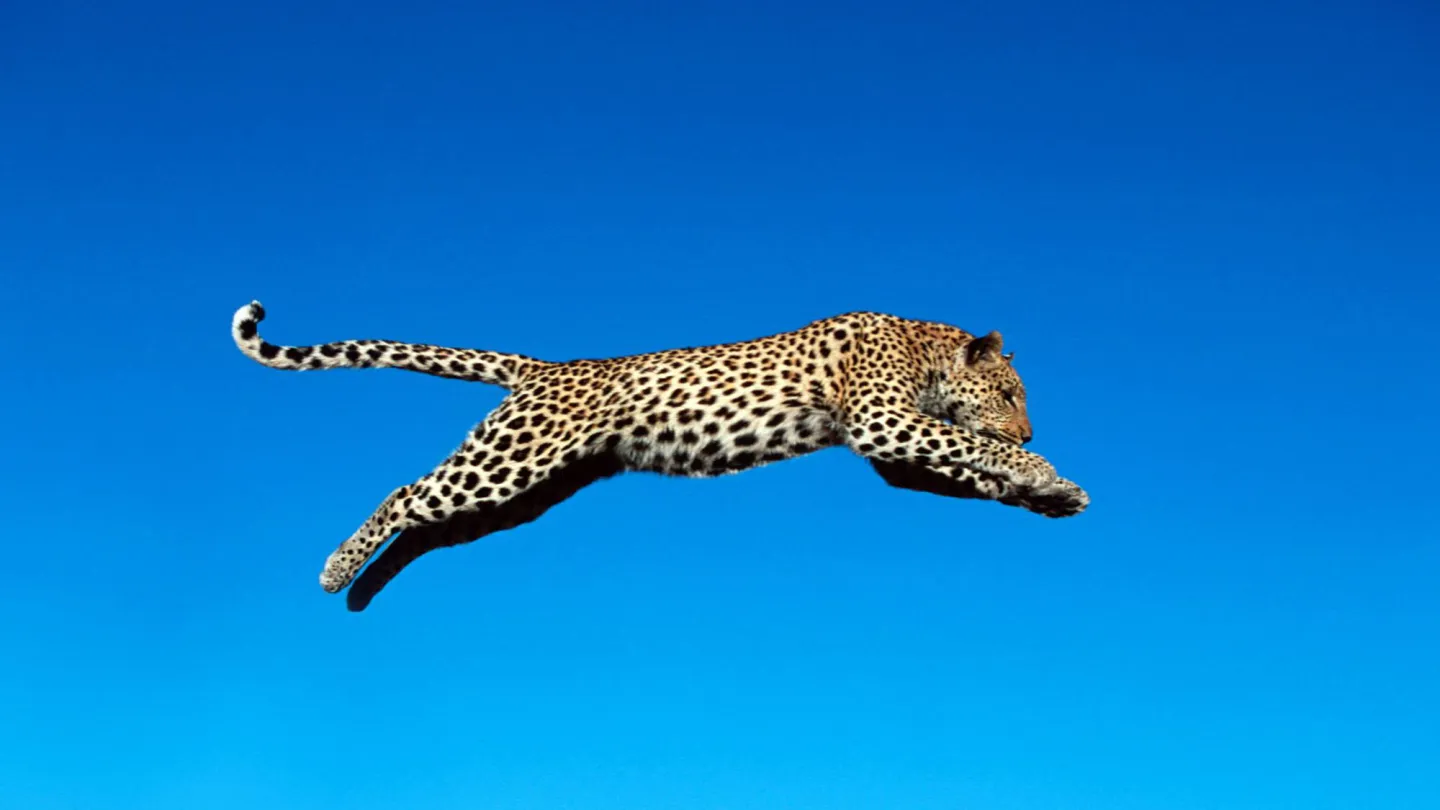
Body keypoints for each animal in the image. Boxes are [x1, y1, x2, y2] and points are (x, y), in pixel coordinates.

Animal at [232, 301, 1089, 611]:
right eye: (1009, 392)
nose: (1028, 433)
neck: (924, 347)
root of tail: (548, 368)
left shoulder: (892, 445)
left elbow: (964, 467)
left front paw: (1046, 492)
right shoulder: (881, 419)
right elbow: (963, 443)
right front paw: (1042, 471)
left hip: (523, 497)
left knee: (428, 526)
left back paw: (365, 590)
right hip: (509, 461)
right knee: (409, 491)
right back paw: (338, 569)